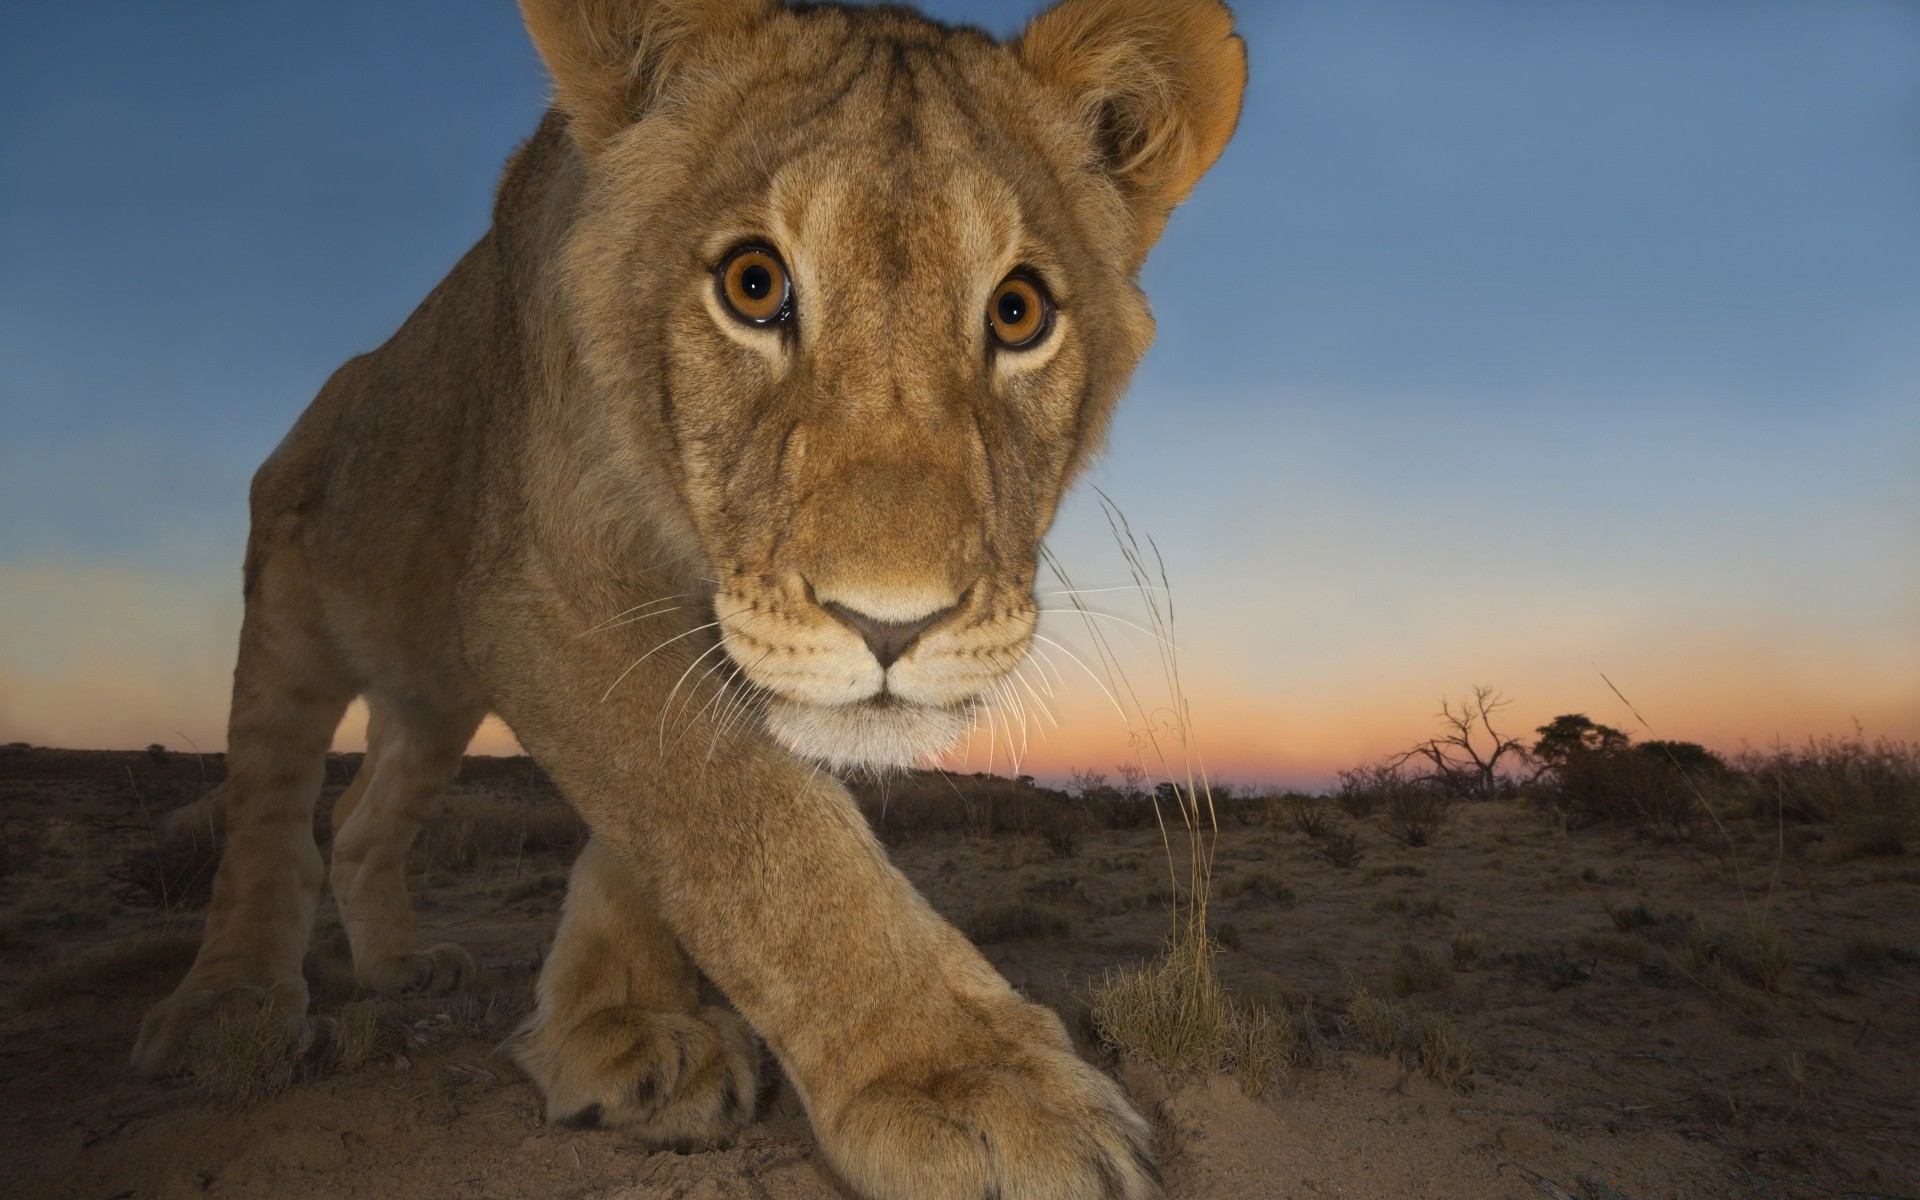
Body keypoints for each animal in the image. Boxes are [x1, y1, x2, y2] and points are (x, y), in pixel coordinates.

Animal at [132, 1, 1245, 1196]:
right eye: (754, 286)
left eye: (1021, 310)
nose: (891, 624)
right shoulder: (549, 586)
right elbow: (748, 829)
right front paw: (965, 1085)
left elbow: (671, 825)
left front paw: (611, 1029)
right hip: (290, 614)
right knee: (271, 815)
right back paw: (230, 1009)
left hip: (430, 703)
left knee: (359, 822)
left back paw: (403, 966)